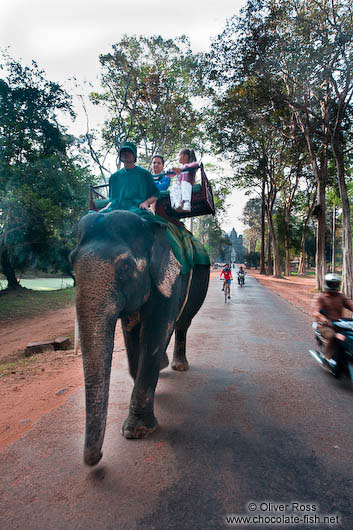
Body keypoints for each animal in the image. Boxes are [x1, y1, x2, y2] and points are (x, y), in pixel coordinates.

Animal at [69, 208, 209, 464]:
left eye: (125, 267)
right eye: (70, 261)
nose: (96, 457)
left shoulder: (170, 279)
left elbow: (154, 333)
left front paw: (136, 431)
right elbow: (132, 332)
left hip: (200, 280)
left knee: (183, 322)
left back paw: (179, 365)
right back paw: (165, 365)